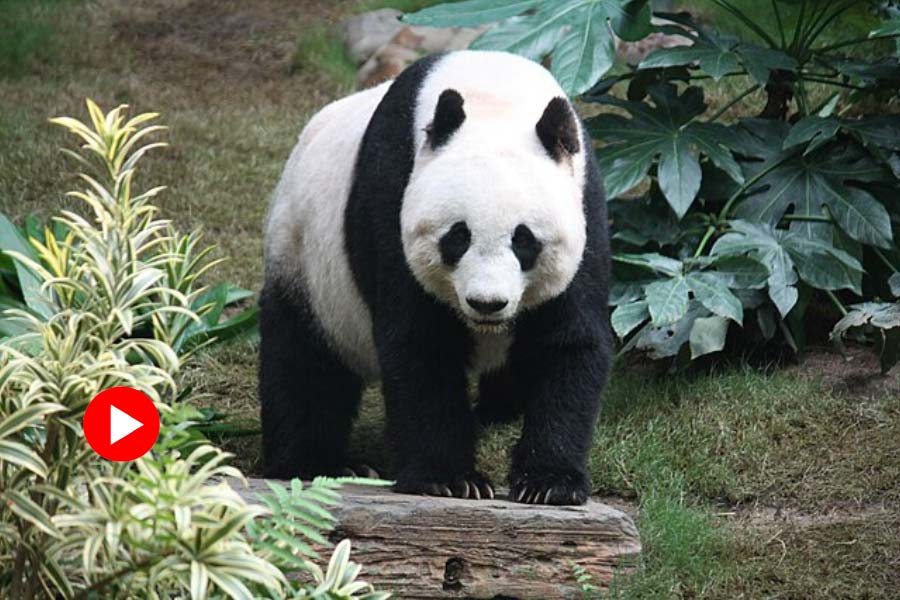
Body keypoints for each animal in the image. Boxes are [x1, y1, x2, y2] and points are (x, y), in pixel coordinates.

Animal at [260, 49, 612, 504]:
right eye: (458, 237)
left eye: (524, 240)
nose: (487, 304)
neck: (495, 97)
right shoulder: (393, 192)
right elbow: (422, 343)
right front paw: (450, 479)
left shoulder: (586, 206)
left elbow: (567, 342)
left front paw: (548, 483)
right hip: (305, 259)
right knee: (305, 362)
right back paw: (318, 463)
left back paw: (497, 410)